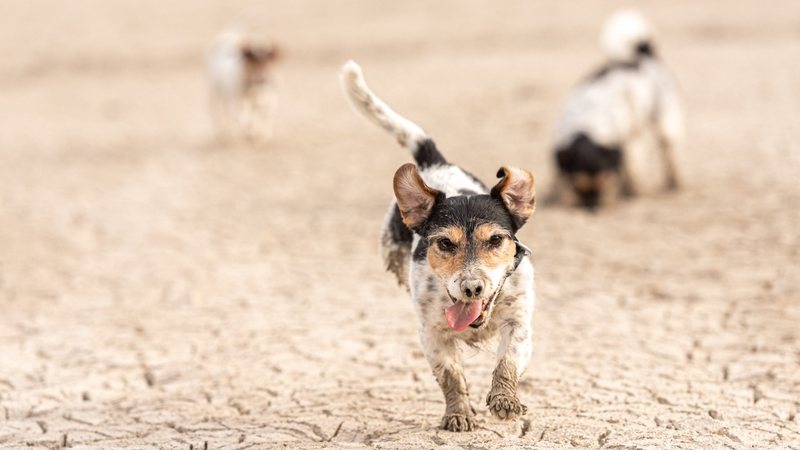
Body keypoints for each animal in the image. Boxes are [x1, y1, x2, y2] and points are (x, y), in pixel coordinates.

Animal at [340, 61, 536, 430]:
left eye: (496, 239)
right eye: (445, 243)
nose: (472, 288)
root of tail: (436, 164)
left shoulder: (519, 320)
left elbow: (508, 360)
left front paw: (504, 400)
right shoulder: (431, 333)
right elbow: (450, 375)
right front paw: (458, 414)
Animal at [548, 10, 684, 211]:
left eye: (606, 182)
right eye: (577, 185)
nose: (592, 207)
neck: (588, 125)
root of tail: (644, 56)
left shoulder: (628, 144)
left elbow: (632, 171)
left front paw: (632, 193)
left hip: (665, 127)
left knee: (670, 156)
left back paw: (674, 184)